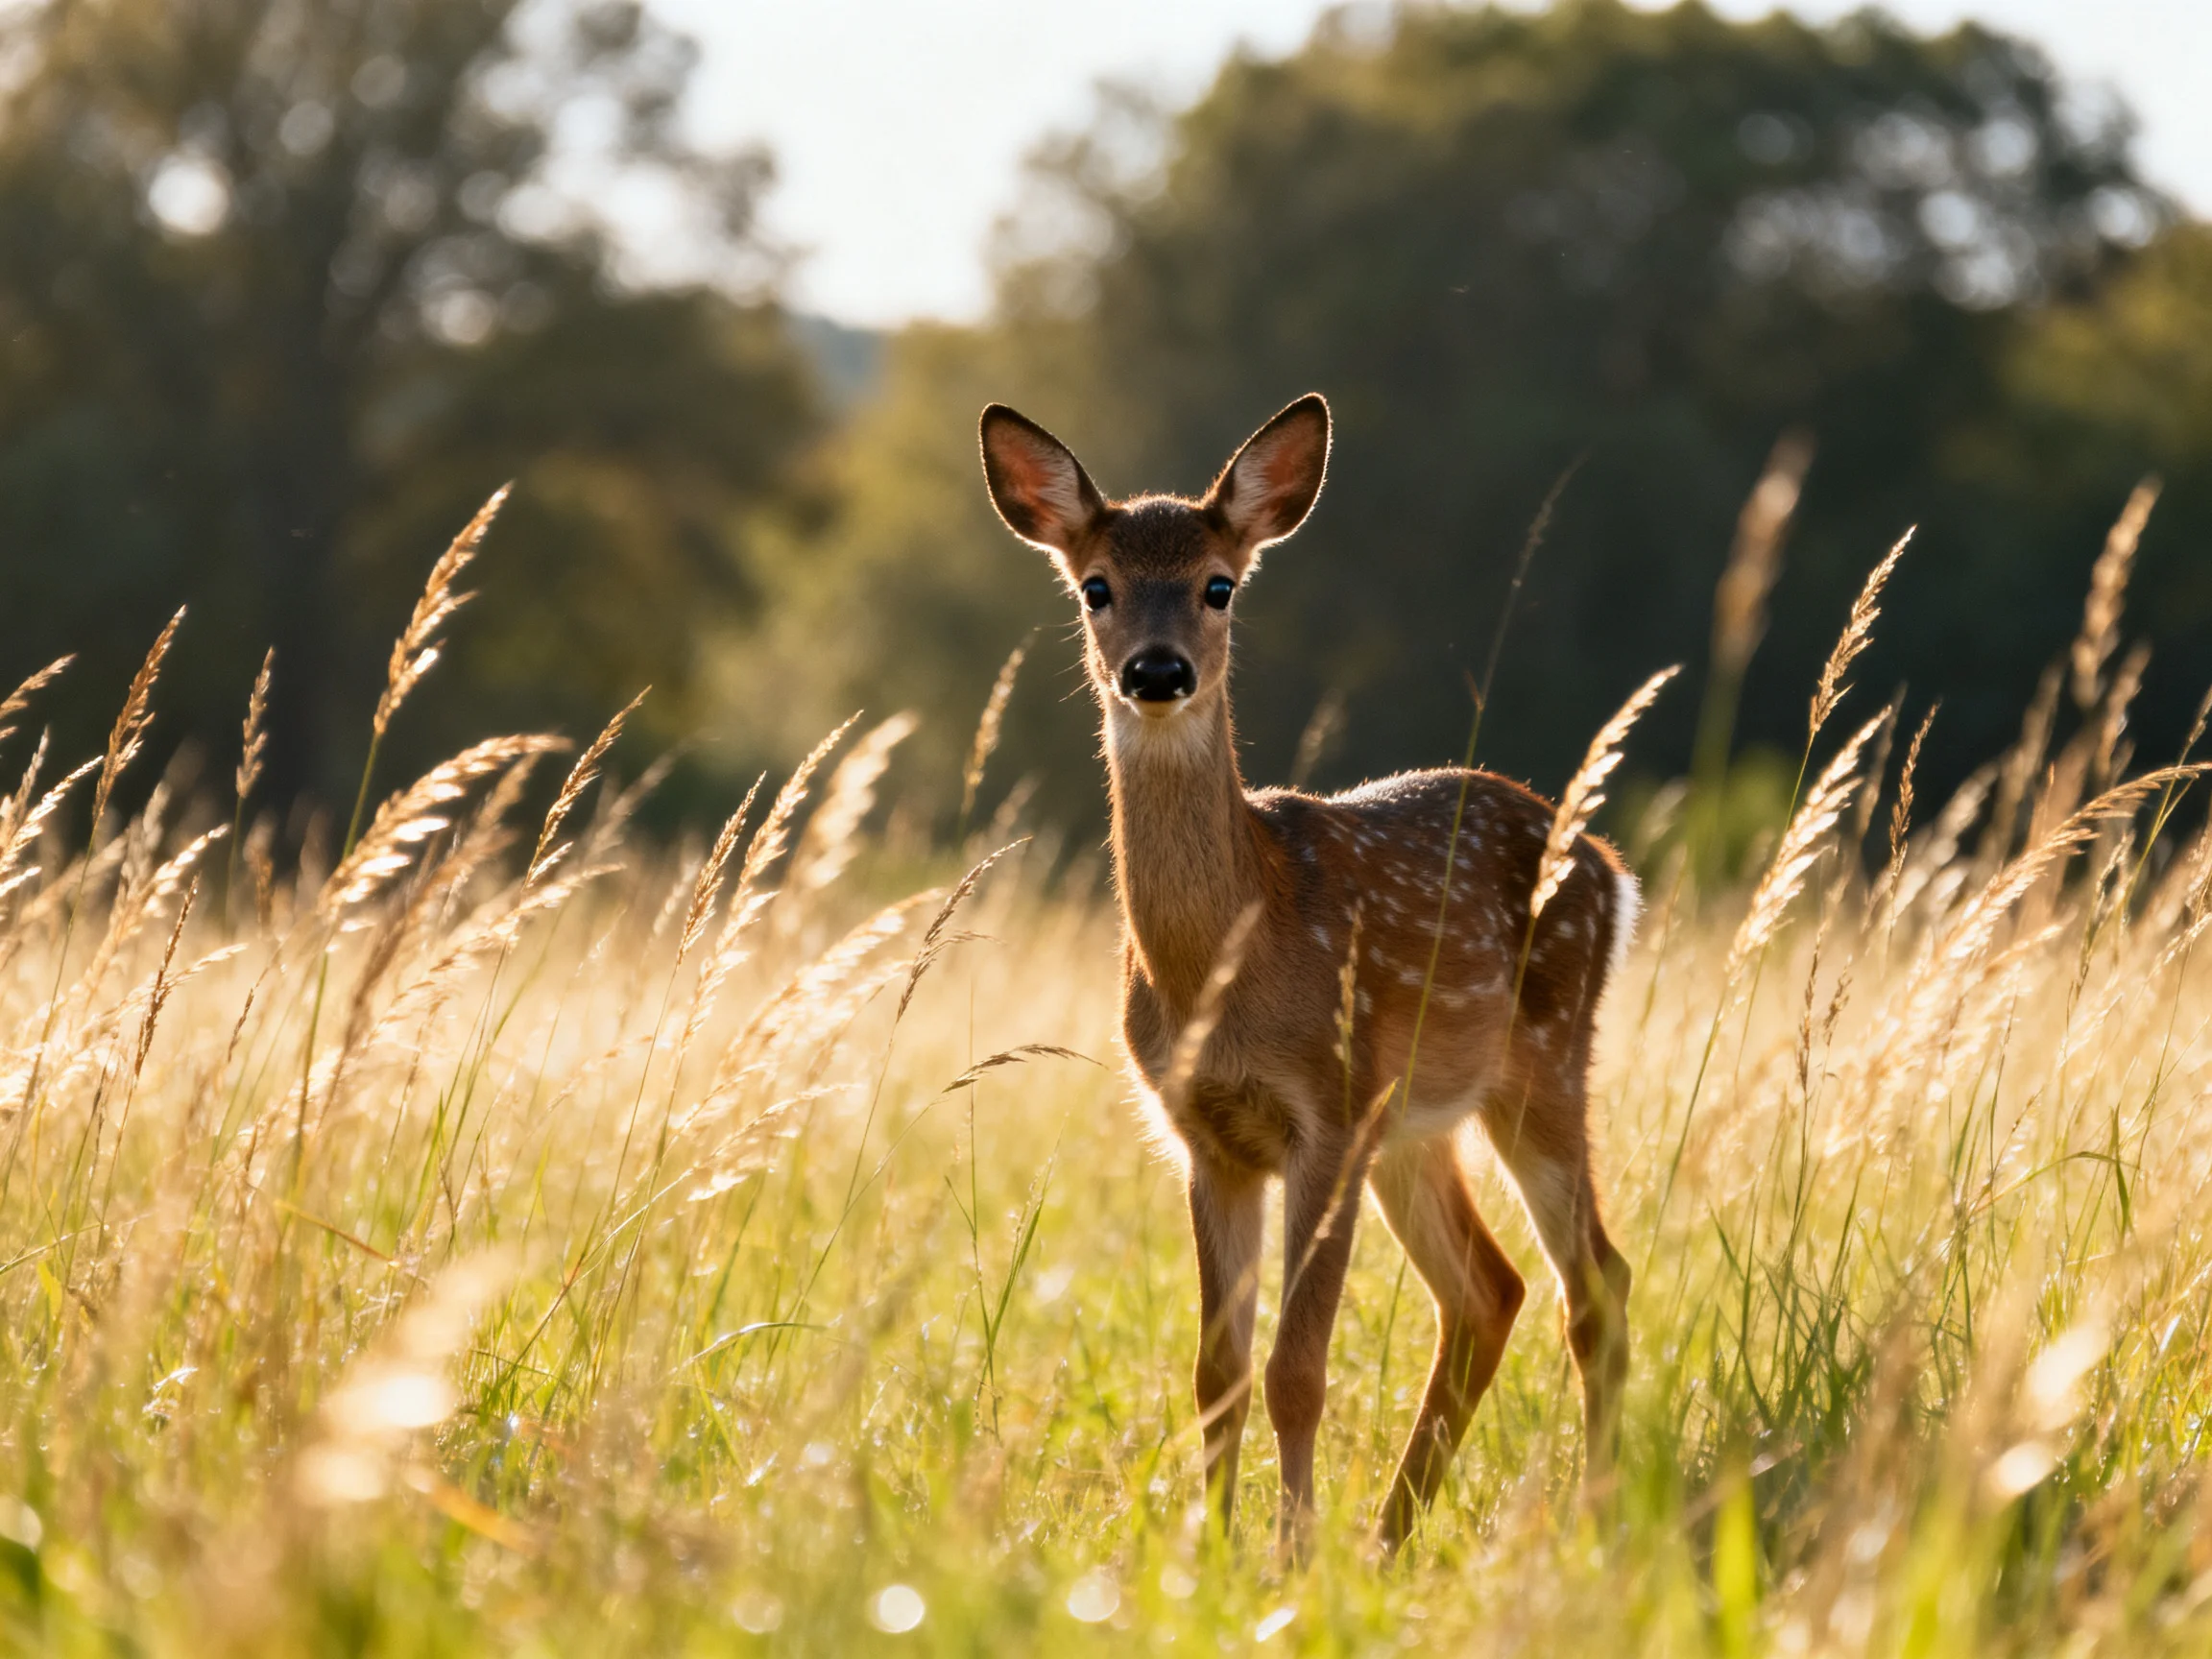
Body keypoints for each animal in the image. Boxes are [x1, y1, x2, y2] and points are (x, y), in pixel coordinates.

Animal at [978, 392, 1637, 1555]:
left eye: (1220, 584)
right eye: (1097, 586)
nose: (1157, 672)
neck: (1227, 971)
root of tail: (1608, 864)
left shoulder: (1324, 1114)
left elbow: (1296, 1369)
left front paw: (1289, 1559)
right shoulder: (1208, 1136)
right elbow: (1217, 1373)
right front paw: (1211, 1556)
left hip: (1540, 1068)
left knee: (1595, 1280)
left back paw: (1584, 1520)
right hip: (1414, 1123)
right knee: (1491, 1290)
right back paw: (1390, 1539)